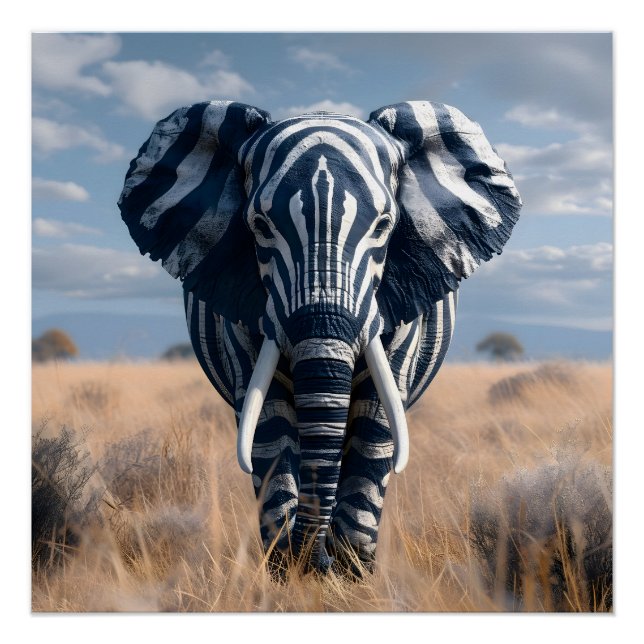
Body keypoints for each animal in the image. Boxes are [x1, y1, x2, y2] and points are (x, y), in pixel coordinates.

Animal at [118, 100, 522, 576]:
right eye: (259, 226)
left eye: (384, 226)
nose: (317, 562)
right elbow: (268, 423)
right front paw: (286, 568)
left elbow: (376, 423)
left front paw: (351, 571)